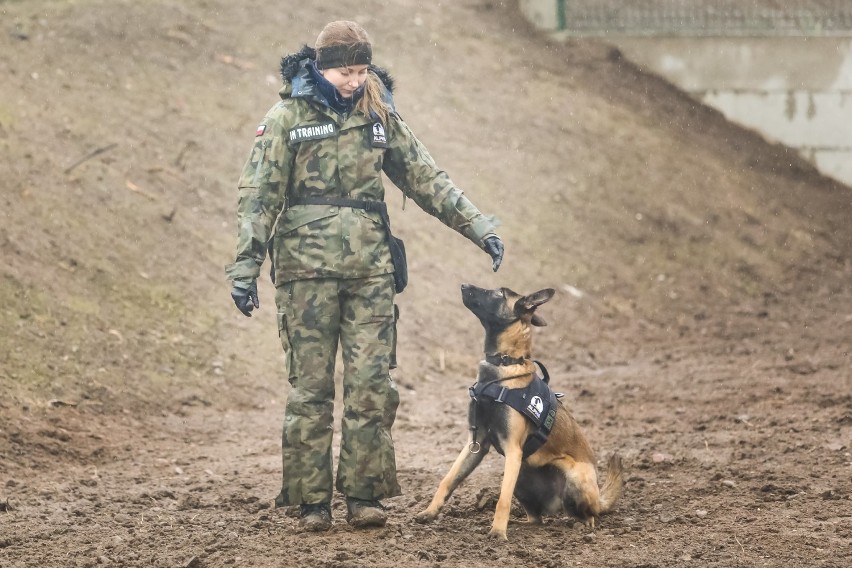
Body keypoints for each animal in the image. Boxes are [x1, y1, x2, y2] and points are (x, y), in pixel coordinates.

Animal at [416, 286, 624, 540]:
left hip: (573, 478)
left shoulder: (513, 450)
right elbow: (448, 480)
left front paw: (497, 532)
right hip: (522, 475)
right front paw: (430, 512)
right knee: (536, 519)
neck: (504, 366)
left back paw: (582, 525)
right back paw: (524, 523)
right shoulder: (476, 443)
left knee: (590, 515)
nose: (464, 285)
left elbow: (502, 500)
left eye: (498, 294)